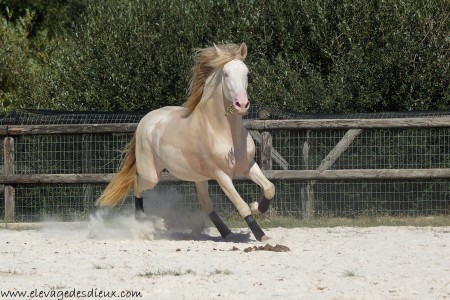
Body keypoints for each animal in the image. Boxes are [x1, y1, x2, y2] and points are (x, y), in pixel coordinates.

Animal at [96, 42, 274, 241]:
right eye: (226, 74)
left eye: (247, 73)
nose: (242, 105)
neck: (224, 132)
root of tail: (145, 120)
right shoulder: (221, 175)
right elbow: (241, 205)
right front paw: (261, 235)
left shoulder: (248, 166)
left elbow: (269, 188)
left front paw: (258, 207)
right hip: (152, 175)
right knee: (137, 185)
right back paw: (141, 223)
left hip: (199, 178)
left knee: (205, 203)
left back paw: (227, 233)